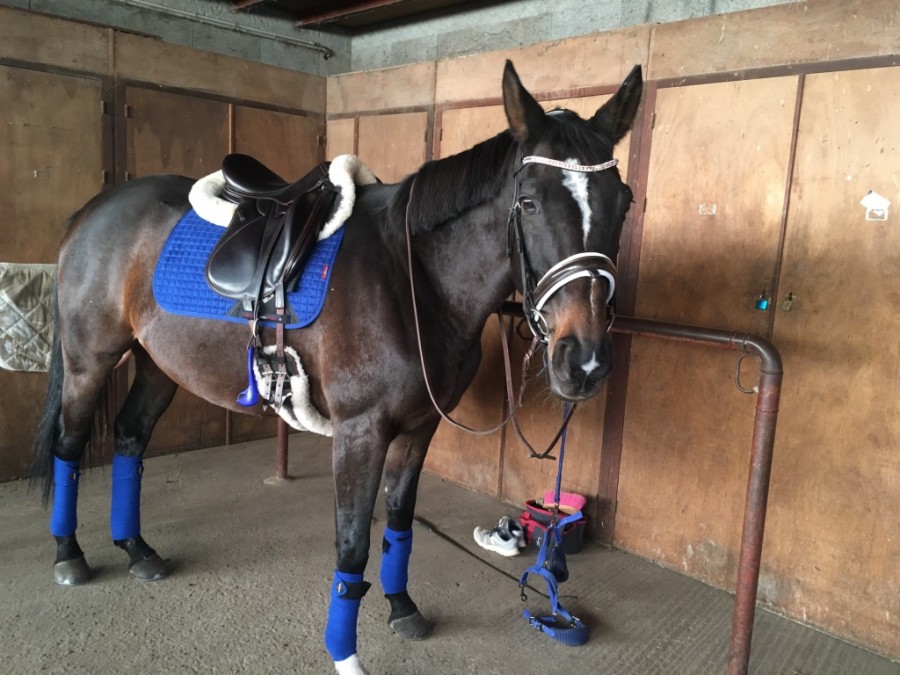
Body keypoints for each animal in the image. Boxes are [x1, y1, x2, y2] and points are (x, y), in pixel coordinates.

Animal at [33, 60, 640, 672]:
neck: (411, 278)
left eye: (624, 200)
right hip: (89, 362)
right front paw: (345, 656)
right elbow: (353, 545)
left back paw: (136, 549)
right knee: (69, 445)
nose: (584, 360)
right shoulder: (360, 433)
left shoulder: (418, 429)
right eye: (531, 201)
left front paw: (402, 608)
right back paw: (69, 554)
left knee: (130, 438)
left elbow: (399, 523)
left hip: (160, 365)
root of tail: (93, 211)